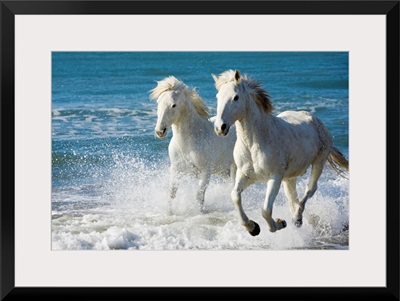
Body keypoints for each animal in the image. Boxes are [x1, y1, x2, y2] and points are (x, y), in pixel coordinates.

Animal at [150, 76, 238, 212]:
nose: (160, 131)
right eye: (158, 102)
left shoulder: (206, 171)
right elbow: (172, 193)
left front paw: (200, 212)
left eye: (173, 105)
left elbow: (199, 196)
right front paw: (169, 212)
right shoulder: (176, 169)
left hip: (234, 168)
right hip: (223, 171)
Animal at [212, 69, 346, 234]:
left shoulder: (274, 178)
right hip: (289, 178)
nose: (220, 127)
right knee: (292, 197)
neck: (254, 143)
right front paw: (253, 228)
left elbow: (265, 210)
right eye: (217, 97)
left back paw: (296, 217)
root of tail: (316, 120)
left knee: (310, 190)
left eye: (236, 97)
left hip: (318, 163)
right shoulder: (244, 175)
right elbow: (235, 196)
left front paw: (279, 224)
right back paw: (297, 220)